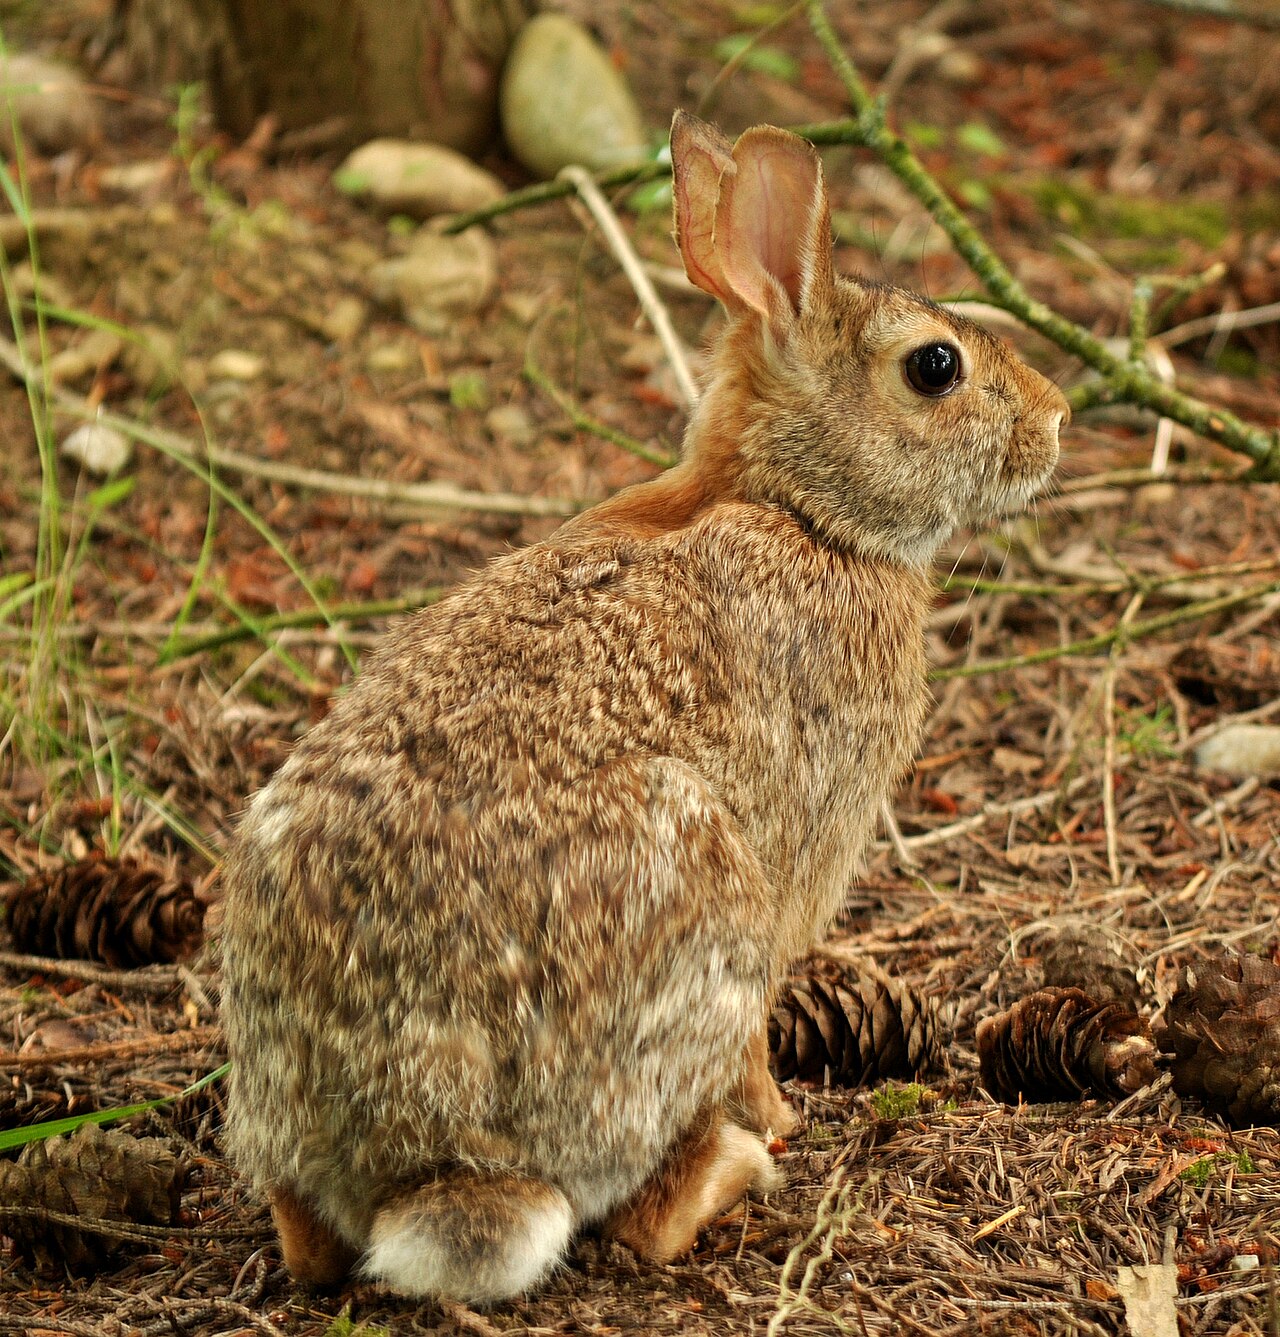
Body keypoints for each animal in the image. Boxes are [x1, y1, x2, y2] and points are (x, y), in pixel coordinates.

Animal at [220, 110, 1068, 1305]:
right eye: (934, 367)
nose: (1058, 418)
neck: (803, 511)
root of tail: (415, 1153)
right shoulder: (792, 870)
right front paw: (783, 1113)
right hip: (699, 911)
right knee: (634, 1215)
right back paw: (735, 1163)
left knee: (305, 1231)